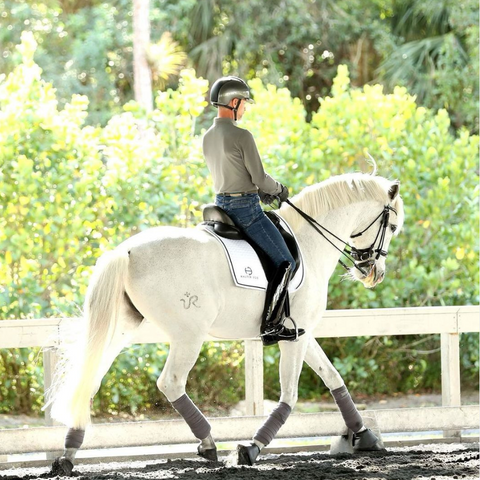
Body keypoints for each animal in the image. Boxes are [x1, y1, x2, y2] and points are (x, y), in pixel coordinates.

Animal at [48, 172, 404, 472]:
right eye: (393, 227)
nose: (373, 272)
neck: (309, 243)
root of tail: (126, 252)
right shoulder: (296, 337)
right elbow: (290, 396)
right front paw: (251, 447)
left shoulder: (301, 332)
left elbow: (333, 378)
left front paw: (364, 435)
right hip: (188, 335)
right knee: (171, 382)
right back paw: (208, 443)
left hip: (121, 330)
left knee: (90, 380)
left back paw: (68, 453)